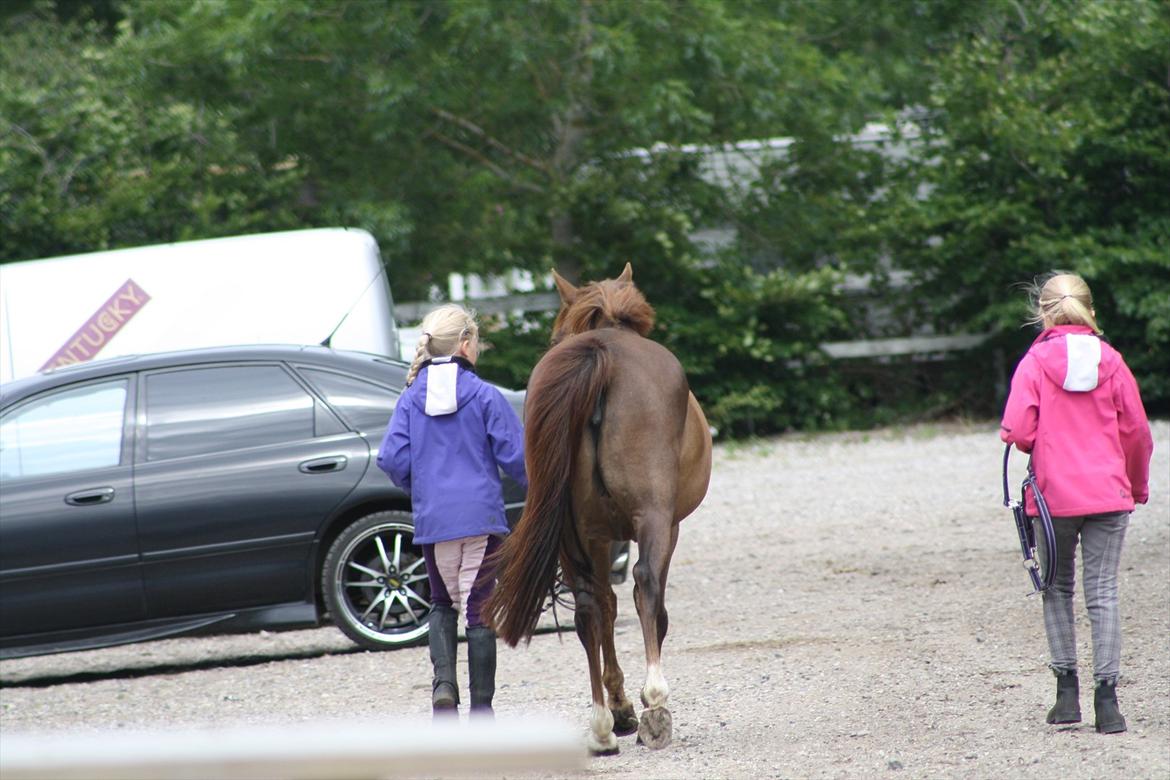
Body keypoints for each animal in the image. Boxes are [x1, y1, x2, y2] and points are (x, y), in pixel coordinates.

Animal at [484, 264, 711, 757]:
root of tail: (601, 354)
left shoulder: (599, 536)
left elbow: (606, 604)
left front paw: (620, 705)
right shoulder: (663, 526)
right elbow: (647, 603)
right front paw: (638, 703)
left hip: (572, 533)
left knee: (589, 607)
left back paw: (602, 726)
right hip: (651, 519)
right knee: (645, 586)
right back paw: (655, 706)